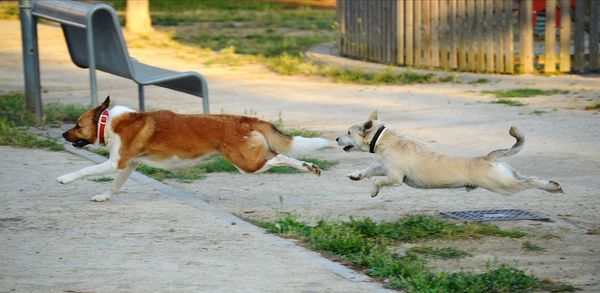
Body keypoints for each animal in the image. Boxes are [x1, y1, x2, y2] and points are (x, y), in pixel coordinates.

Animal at [56, 96, 328, 201]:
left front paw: (64, 178)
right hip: (252, 156)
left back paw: (307, 167)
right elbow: (115, 184)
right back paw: (309, 166)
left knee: (281, 158)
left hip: (246, 164)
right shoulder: (129, 164)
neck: (108, 121)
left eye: (77, 125)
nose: (62, 134)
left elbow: (85, 171)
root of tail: (245, 119)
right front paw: (103, 196)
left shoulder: (116, 162)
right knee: (283, 156)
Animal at [336, 110, 564, 197]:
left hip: (504, 186)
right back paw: (552, 184)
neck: (386, 139)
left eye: (348, 132)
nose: (337, 139)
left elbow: (377, 180)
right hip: (510, 176)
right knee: (530, 177)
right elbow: (369, 169)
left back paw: (553, 188)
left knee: (530, 182)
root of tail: (487, 157)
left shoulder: (395, 178)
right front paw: (356, 175)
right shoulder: (381, 166)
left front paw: (374, 190)